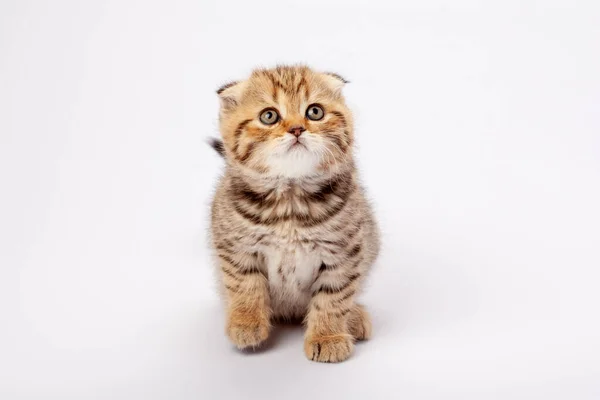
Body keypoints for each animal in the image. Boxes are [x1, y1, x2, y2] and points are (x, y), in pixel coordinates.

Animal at [210, 65, 380, 362]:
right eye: (269, 116)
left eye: (315, 112)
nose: (297, 129)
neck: (289, 200)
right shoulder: (235, 247)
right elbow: (245, 285)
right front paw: (246, 323)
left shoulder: (344, 252)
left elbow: (333, 297)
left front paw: (328, 336)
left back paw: (354, 317)